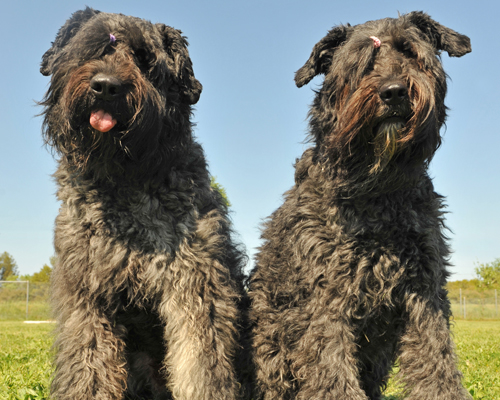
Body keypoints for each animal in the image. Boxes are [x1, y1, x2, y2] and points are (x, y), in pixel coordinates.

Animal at [40, 7, 247, 400]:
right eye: (94, 48)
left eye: (144, 58)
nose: (106, 86)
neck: (123, 180)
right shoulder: (88, 294)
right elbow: (89, 365)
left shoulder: (196, 284)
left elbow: (200, 366)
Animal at [250, 11, 472, 400]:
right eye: (360, 62)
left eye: (410, 52)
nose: (394, 91)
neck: (377, 190)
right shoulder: (326, 299)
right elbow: (332, 373)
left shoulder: (424, 292)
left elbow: (437, 363)